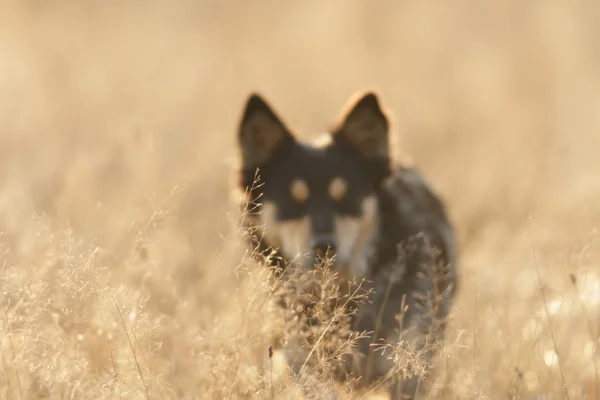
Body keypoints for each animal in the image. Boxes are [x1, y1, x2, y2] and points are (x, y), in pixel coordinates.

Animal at [234, 91, 460, 400]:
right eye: (293, 201)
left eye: (345, 198)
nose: (324, 246)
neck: (341, 298)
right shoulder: (305, 362)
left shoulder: (408, 367)